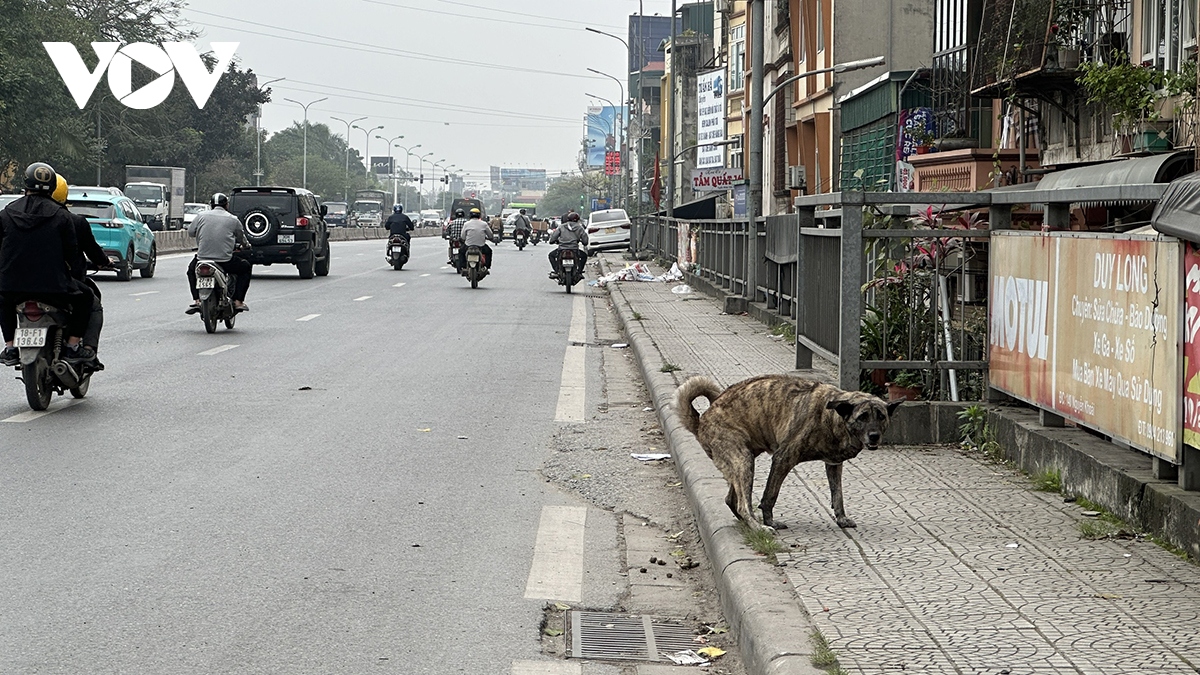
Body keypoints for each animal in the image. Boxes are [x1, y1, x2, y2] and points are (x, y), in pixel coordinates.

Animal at [676, 369, 902, 528]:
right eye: (863, 417)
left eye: (881, 416)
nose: (874, 436)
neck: (831, 416)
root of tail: (702, 419)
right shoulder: (783, 458)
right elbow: (770, 496)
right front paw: (770, 521)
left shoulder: (834, 465)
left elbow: (838, 496)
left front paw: (842, 519)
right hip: (743, 461)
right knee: (742, 504)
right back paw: (758, 526)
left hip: (742, 462)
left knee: (732, 500)